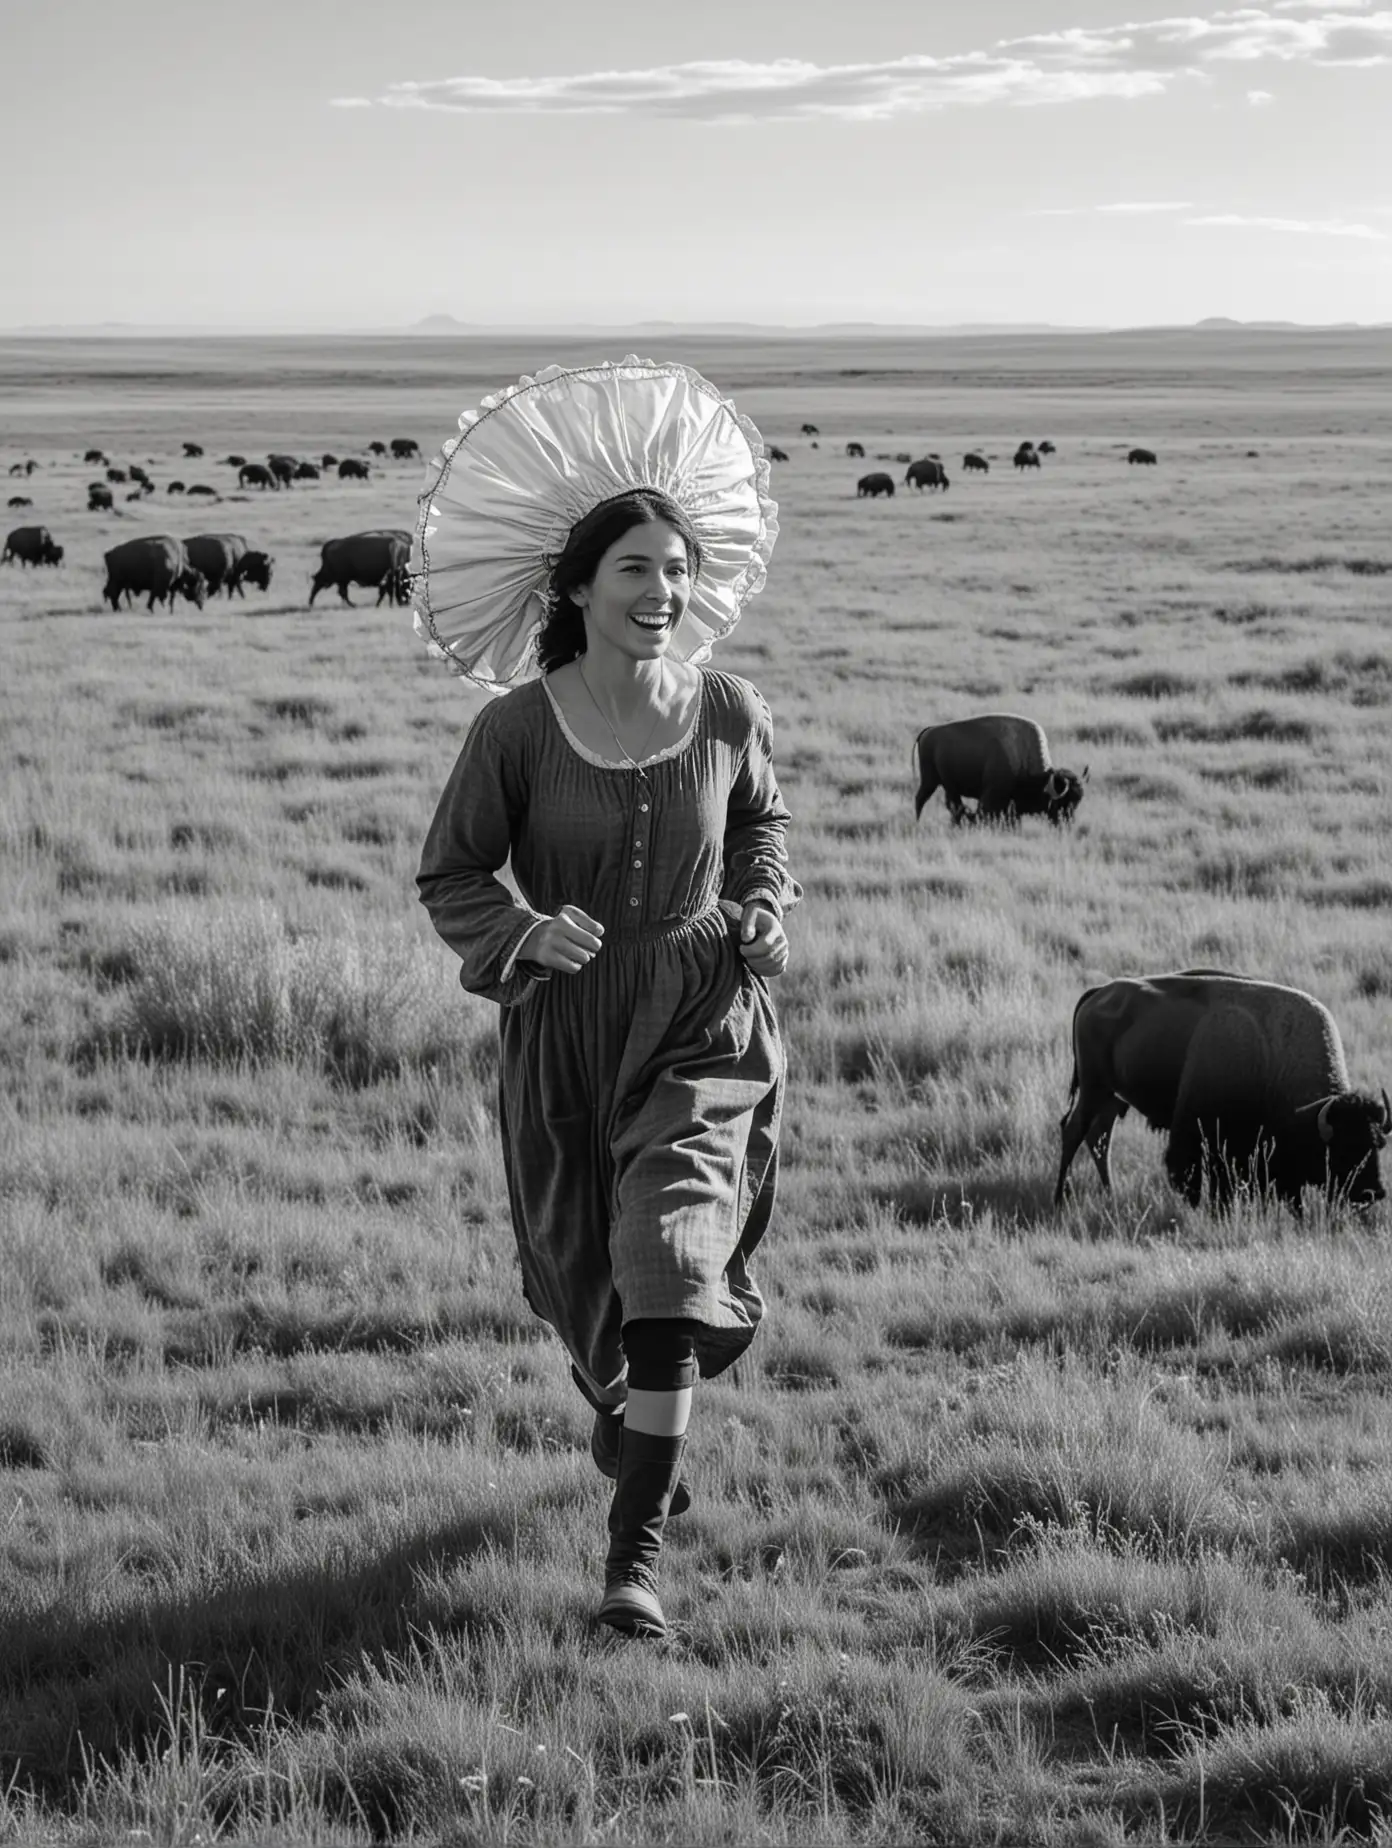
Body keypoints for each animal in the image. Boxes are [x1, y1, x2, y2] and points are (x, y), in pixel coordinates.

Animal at [913, 717, 1086, 827]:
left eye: (1077, 802)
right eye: (1061, 803)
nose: (1067, 824)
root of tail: (929, 730)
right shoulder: (992, 795)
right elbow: (985, 812)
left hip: (946, 785)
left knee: (953, 805)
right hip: (929, 780)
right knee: (921, 799)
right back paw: (918, 823)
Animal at [1057, 968, 1382, 1212]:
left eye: (1377, 1144)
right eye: (1344, 1148)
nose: (1372, 1192)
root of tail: (1098, 992)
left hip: (1111, 1097)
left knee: (1099, 1138)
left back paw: (1109, 1193)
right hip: (1094, 1087)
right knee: (1074, 1131)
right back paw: (1059, 1198)